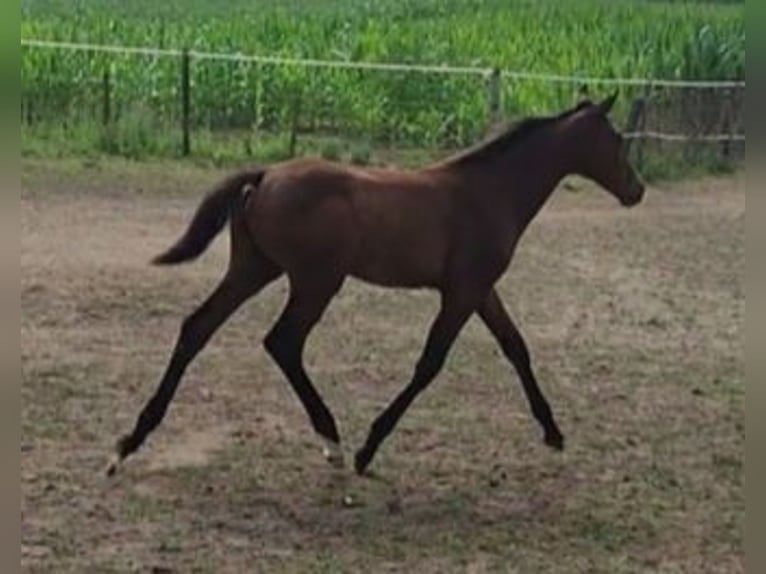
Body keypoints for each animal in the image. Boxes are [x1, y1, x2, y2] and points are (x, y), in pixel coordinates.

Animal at [106, 92, 648, 480]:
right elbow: (430, 364)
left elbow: (517, 347)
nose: (637, 190)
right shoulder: (462, 292)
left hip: (254, 268)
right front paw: (369, 448)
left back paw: (129, 442)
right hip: (315, 280)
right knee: (282, 342)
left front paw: (553, 431)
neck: (488, 191)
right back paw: (332, 441)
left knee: (198, 327)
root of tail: (264, 176)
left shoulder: (480, 290)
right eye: (618, 139)